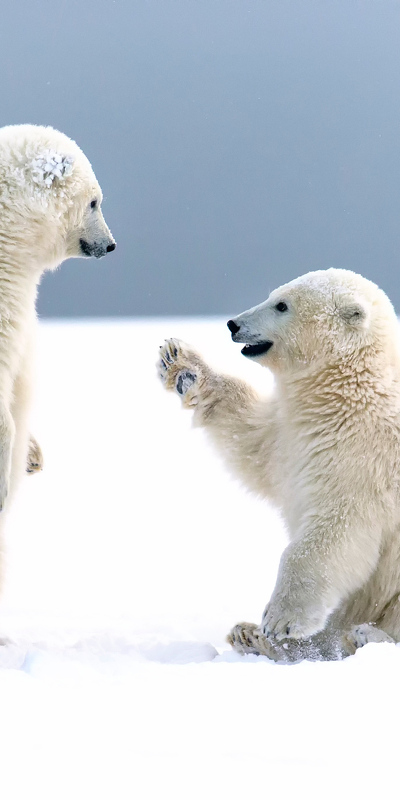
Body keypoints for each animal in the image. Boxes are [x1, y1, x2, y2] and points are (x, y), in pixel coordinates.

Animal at [157, 270, 400, 664]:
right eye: (273, 295)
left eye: (282, 305)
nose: (233, 324)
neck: (348, 388)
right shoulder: (291, 433)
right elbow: (252, 443)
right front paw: (182, 363)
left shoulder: (363, 454)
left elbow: (336, 531)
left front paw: (281, 620)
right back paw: (249, 635)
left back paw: (364, 637)